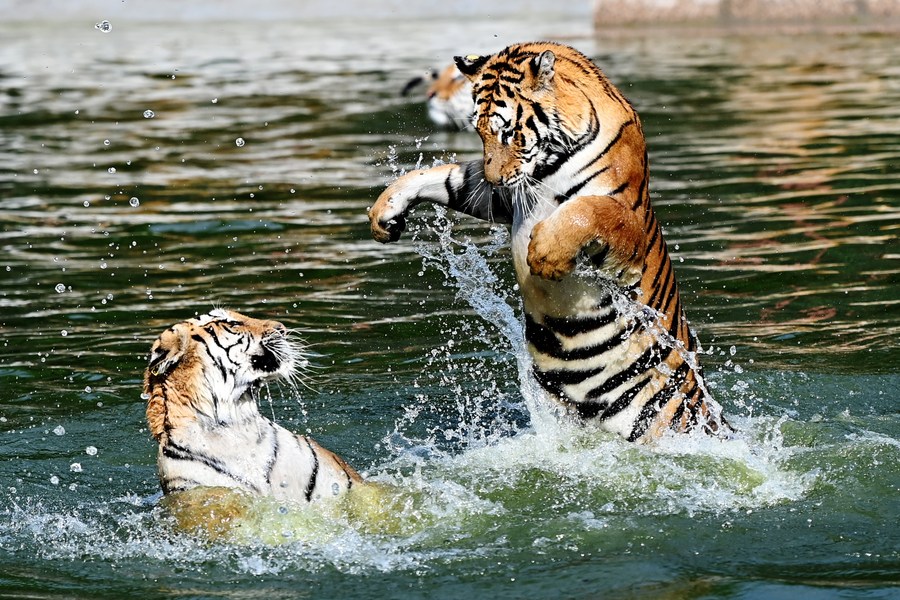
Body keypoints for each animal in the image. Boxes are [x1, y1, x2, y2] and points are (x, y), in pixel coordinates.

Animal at [372, 41, 732, 440]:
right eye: (479, 134)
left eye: (509, 133)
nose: (494, 178)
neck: (547, 166)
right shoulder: (502, 197)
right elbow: (443, 176)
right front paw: (383, 213)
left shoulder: (626, 219)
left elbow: (587, 210)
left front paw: (545, 254)